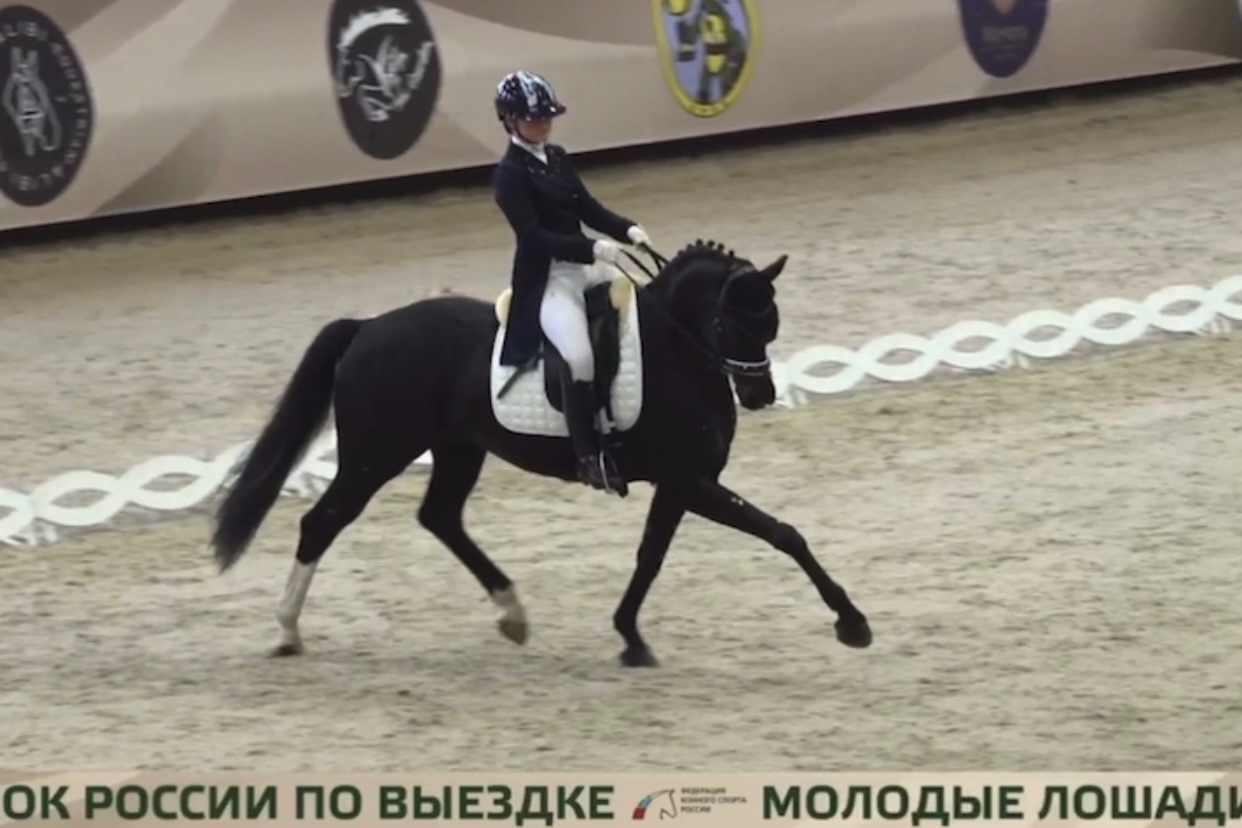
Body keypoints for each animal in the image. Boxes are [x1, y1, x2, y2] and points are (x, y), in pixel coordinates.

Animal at [210, 239, 872, 667]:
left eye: (772, 324)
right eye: (734, 325)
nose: (761, 396)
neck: (674, 351)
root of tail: (368, 327)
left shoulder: (680, 482)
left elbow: (649, 557)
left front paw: (629, 637)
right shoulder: (691, 480)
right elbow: (783, 533)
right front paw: (852, 623)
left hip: (457, 449)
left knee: (439, 517)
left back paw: (513, 614)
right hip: (376, 454)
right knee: (322, 521)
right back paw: (288, 633)